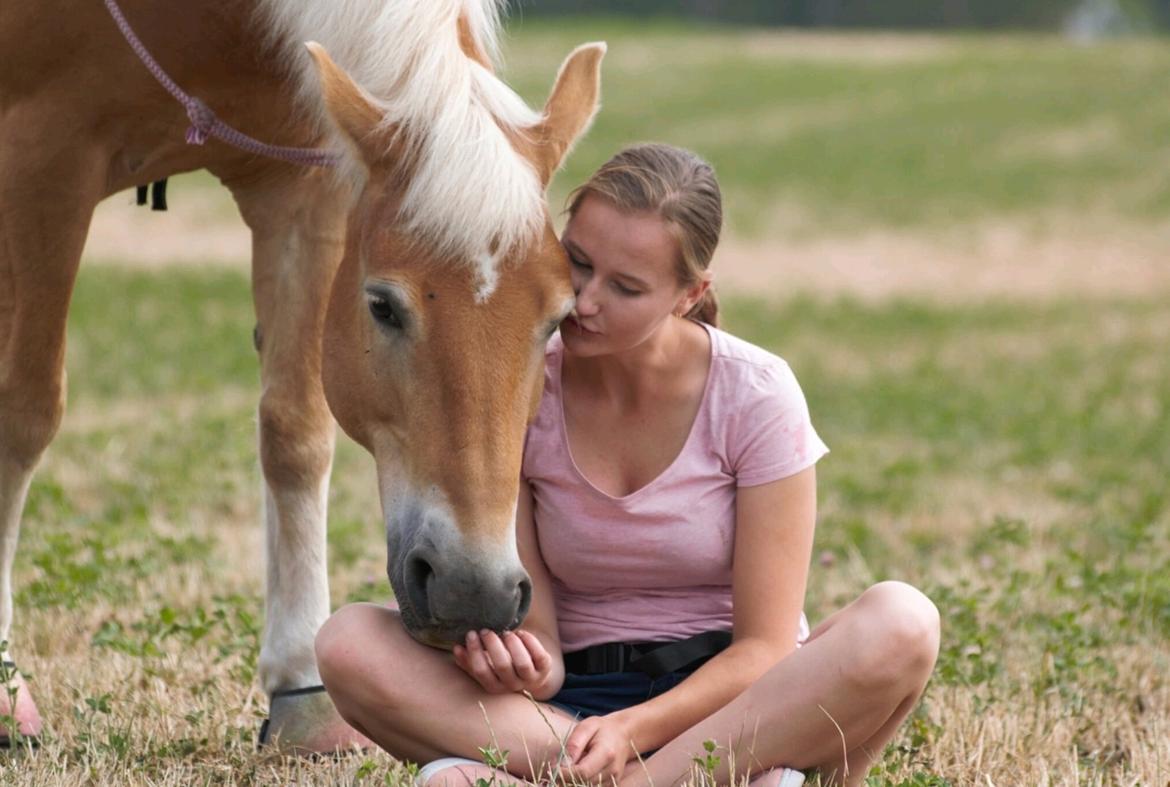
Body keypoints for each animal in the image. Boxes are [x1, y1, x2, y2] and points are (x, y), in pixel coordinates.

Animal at [0, 0, 603, 748]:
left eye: (557, 320)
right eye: (382, 305)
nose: (475, 591)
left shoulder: (303, 187)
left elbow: (296, 432)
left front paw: (302, 686)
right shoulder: (44, 157)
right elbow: (24, 414)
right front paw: (6, 688)